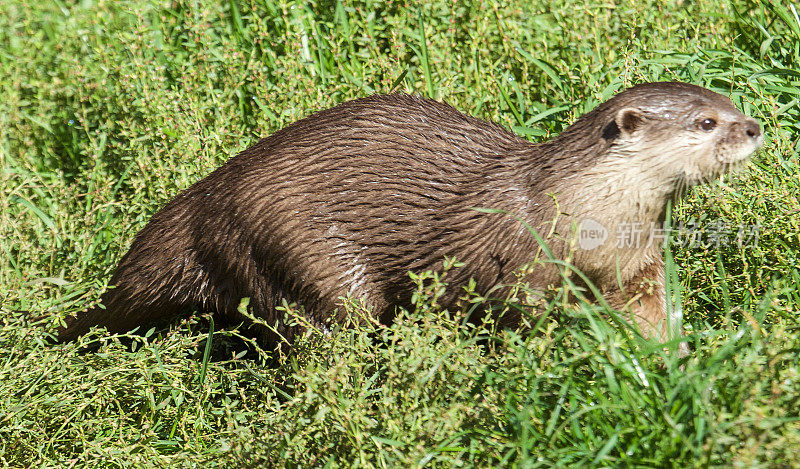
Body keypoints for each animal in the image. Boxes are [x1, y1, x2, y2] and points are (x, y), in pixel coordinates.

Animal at [57, 83, 764, 348]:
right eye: (707, 122)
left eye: (729, 101)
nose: (755, 127)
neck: (587, 216)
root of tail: (206, 199)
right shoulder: (518, 265)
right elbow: (525, 316)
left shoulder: (641, 266)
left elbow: (654, 316)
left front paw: (676, 362)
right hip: (302, 253)